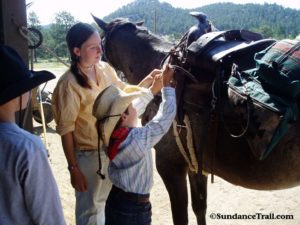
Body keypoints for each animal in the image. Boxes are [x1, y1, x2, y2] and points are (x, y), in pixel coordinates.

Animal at [93, 15, 300, 225]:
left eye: (101, 42)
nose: (100, 70)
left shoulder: (169, 165)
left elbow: (181, 215)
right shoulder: (194, 161)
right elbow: (200, 207)